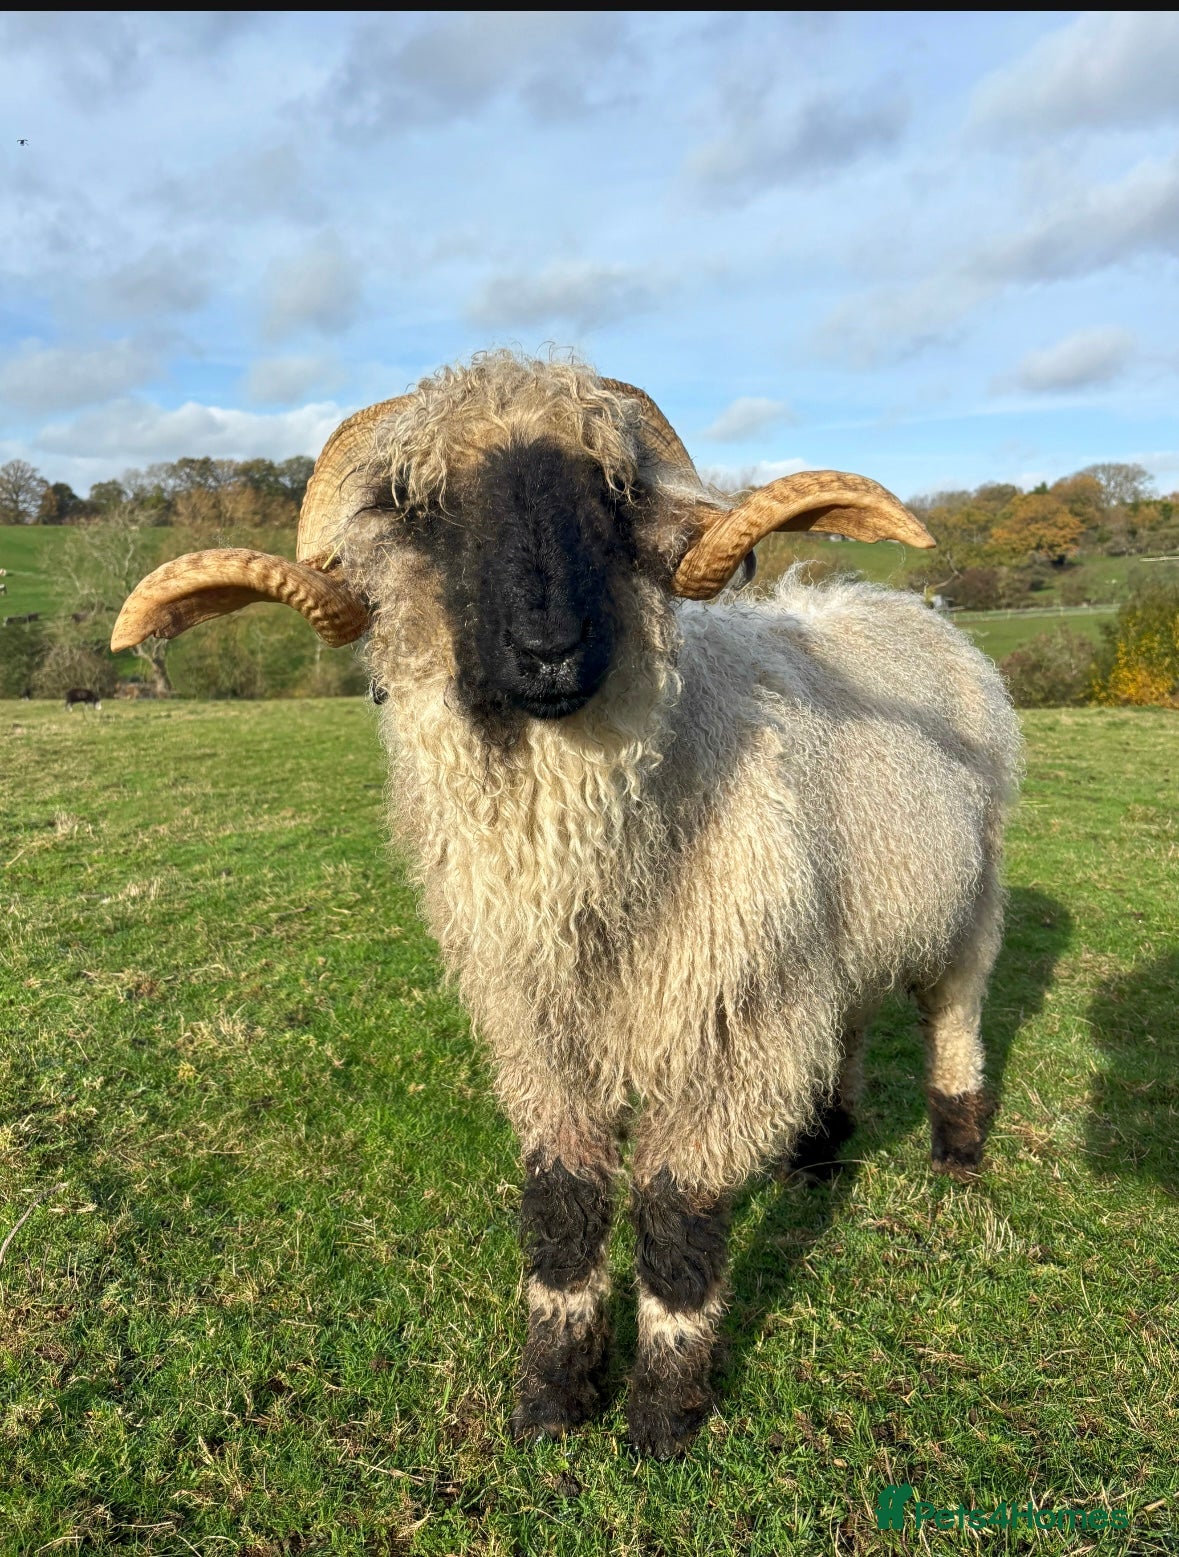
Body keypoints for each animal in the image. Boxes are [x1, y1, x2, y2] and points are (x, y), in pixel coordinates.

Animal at [111, 352, 1021, 1460]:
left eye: (613, 491)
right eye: (416, 506)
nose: (548, 648)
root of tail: (899, 607)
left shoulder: (722, 1023)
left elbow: (675, 1212)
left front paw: (663, 1414)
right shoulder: (541, 1029)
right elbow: (563, 1202)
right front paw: (551, 1397)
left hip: (969, 899)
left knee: (954, 1015)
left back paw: (958, 1152)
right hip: (825, 937)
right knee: (845, 1023)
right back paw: (818, 1150)